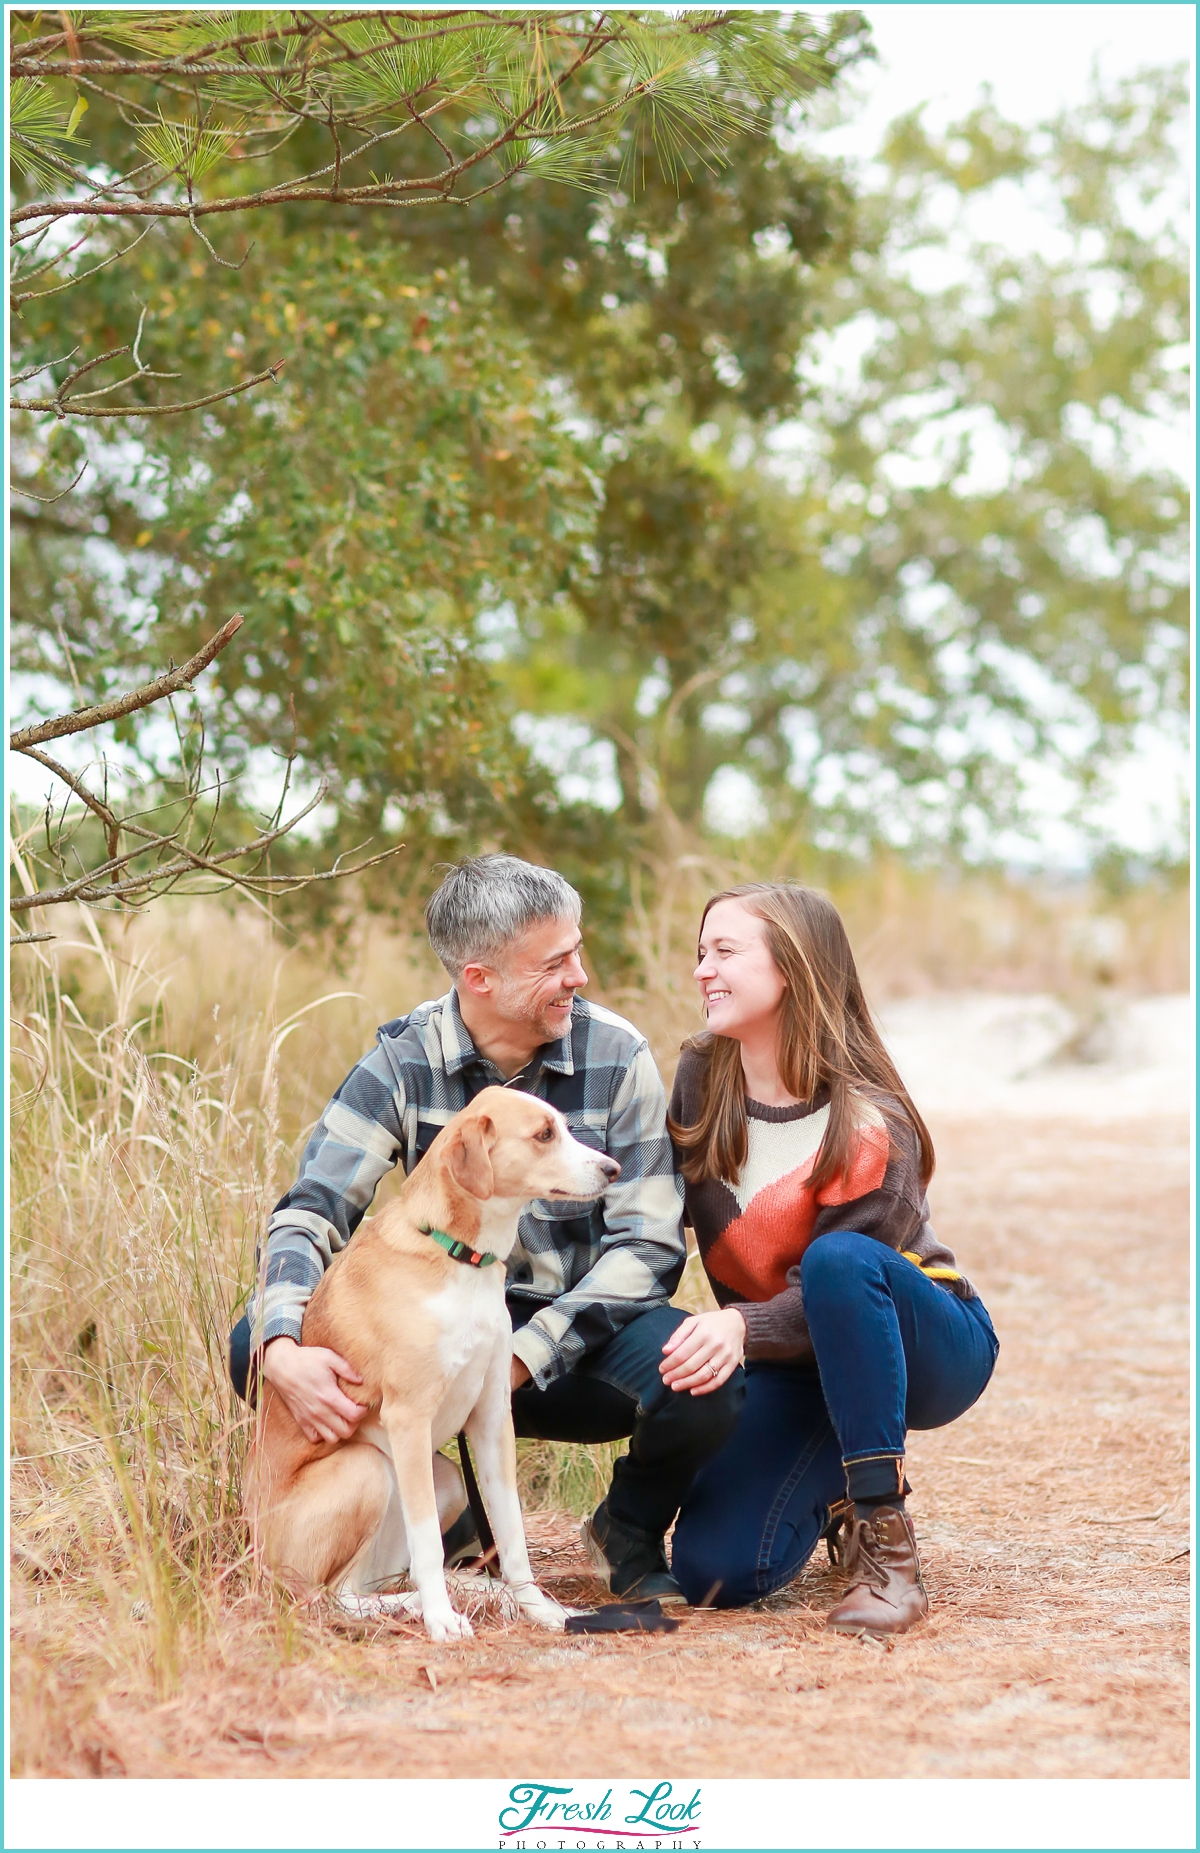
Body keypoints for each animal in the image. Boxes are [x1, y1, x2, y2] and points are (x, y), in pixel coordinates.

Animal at [244, 1082, 618, 1638]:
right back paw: (426, 1605)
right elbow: (427, 1545)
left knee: (356, 1587)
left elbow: (512, 1534)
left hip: (443, 1481)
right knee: (327, 1599)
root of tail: (251, 1554)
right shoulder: (409, 1418)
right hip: (370, 1468)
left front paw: (537, 1607)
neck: (459, 1256)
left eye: (565, 1128)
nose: (613, 1169)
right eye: (544, 1135)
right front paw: (442, 1619)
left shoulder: (491, 1417)